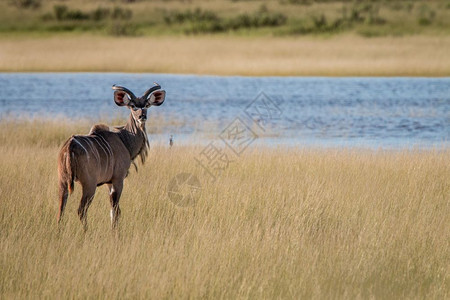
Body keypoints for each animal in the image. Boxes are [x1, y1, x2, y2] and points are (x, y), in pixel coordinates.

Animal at [57, 84, 166, 230]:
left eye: (147, 105)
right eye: (132, 106)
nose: (142, 116)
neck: (124, 139)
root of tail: (70, 145)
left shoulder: (109, 183)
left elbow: (114, 210)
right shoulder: (118, 180)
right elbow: (115, 210)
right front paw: (115, 231)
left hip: (63, 182)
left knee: (61, 209)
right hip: (89, 185)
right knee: (81, 209)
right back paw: (87, 231)